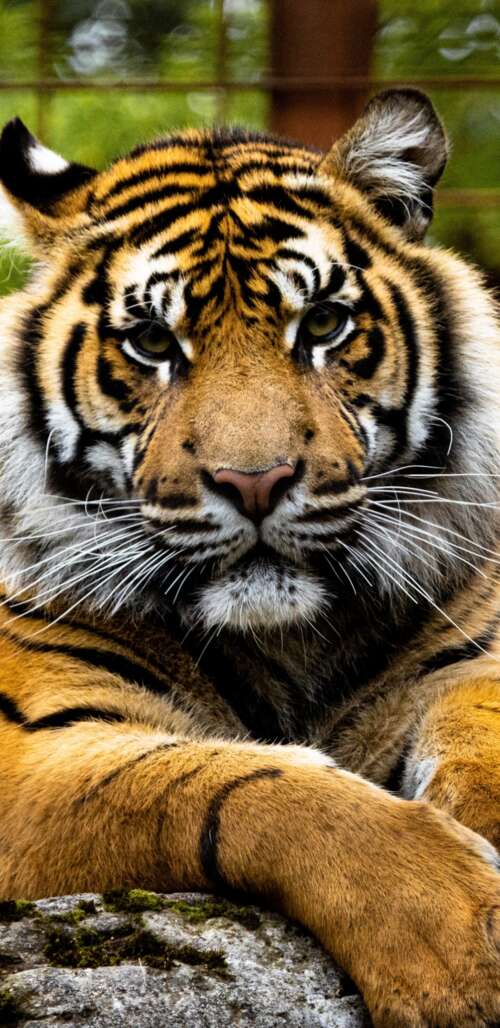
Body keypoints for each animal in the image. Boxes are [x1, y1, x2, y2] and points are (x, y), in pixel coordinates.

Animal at [0, 87, 498, 1027]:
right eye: (153, 343)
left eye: (325, 324)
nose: (255, 481)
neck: (288, 636)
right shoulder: (28, 749)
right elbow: (240, 788)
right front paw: (460, 945)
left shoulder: (470, 654)